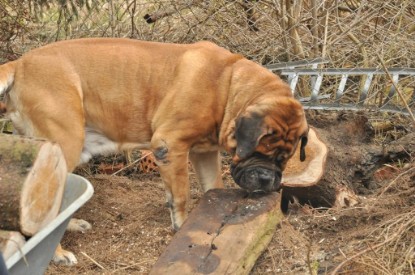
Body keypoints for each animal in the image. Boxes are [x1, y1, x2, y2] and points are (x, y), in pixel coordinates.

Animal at [0, 38, 308, 266]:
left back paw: (71, 225)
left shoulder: (204, 154)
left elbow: (212, 186)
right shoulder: (171, 144)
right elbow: (182, 195)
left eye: (284, 159)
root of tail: (21, 63)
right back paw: (58, 253)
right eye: (259, 151)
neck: (227, 86)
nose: (268, 179)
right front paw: (182, 227)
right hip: (64, 144)